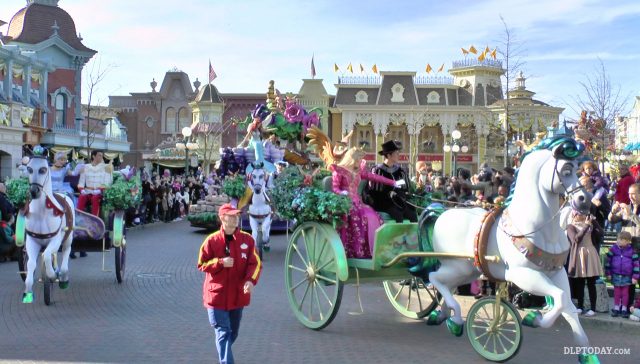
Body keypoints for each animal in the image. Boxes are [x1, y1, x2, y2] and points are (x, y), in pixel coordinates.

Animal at [22, 152, 75, 302]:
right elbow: (31, 263)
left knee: (66, 252)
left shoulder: (55, 240)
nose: (34, 191)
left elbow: (46, 256)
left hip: (68, 238)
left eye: (43, 169)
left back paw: (63, 278)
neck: (41, 214)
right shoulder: (31, 241)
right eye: (29, 168)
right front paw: (28, 292)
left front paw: (52, 275)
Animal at [424, 139, 600, 364]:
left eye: (579, 169)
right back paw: (454, 319)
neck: (537, 229)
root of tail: (441, 213)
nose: (584, 200)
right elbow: (560, 299)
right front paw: (535, 319)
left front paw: (587, 354)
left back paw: (446, 317)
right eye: (566, 170)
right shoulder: (522, 274)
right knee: (434, 278)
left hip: (467, 270)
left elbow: (567, 306)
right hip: (456, 266)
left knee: (446, 284)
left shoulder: (557, 272)